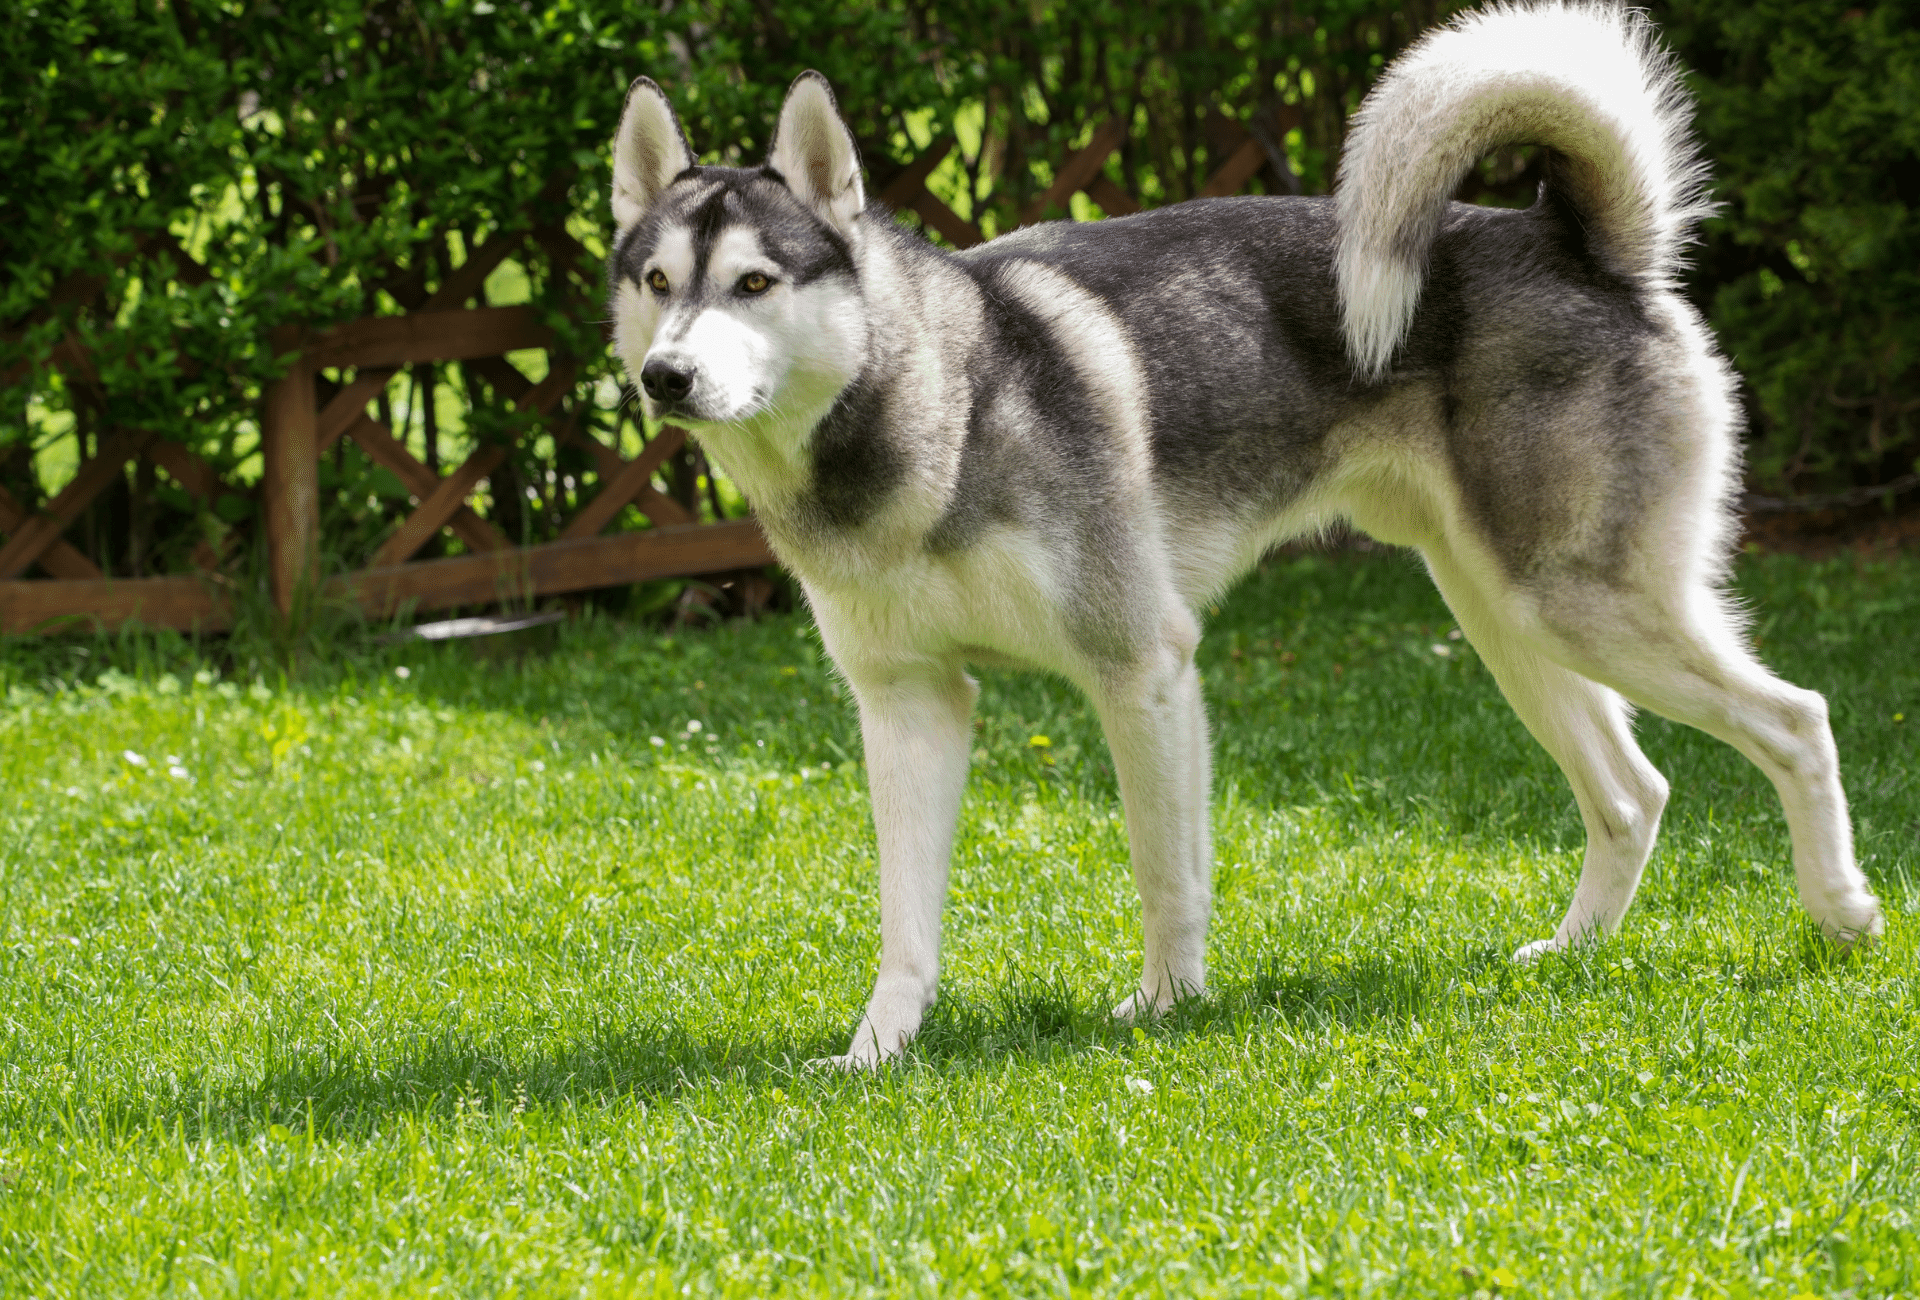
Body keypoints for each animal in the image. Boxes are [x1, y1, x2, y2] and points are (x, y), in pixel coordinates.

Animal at [606, 2, 1881, 1067]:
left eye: (756, 283)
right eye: (658, 281)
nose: (665, 378)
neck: (924, 403)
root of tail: (1583, 244)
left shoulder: (1144, 669)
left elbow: (1165, 872)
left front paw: (1167, 1009)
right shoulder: (910, 703)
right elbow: (905, 921)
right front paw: (877, 1054)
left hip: (1578, 606)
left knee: (1801, 719)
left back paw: (1842, 913)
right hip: (1504, 616)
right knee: (1632, 793)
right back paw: (1572, 957)